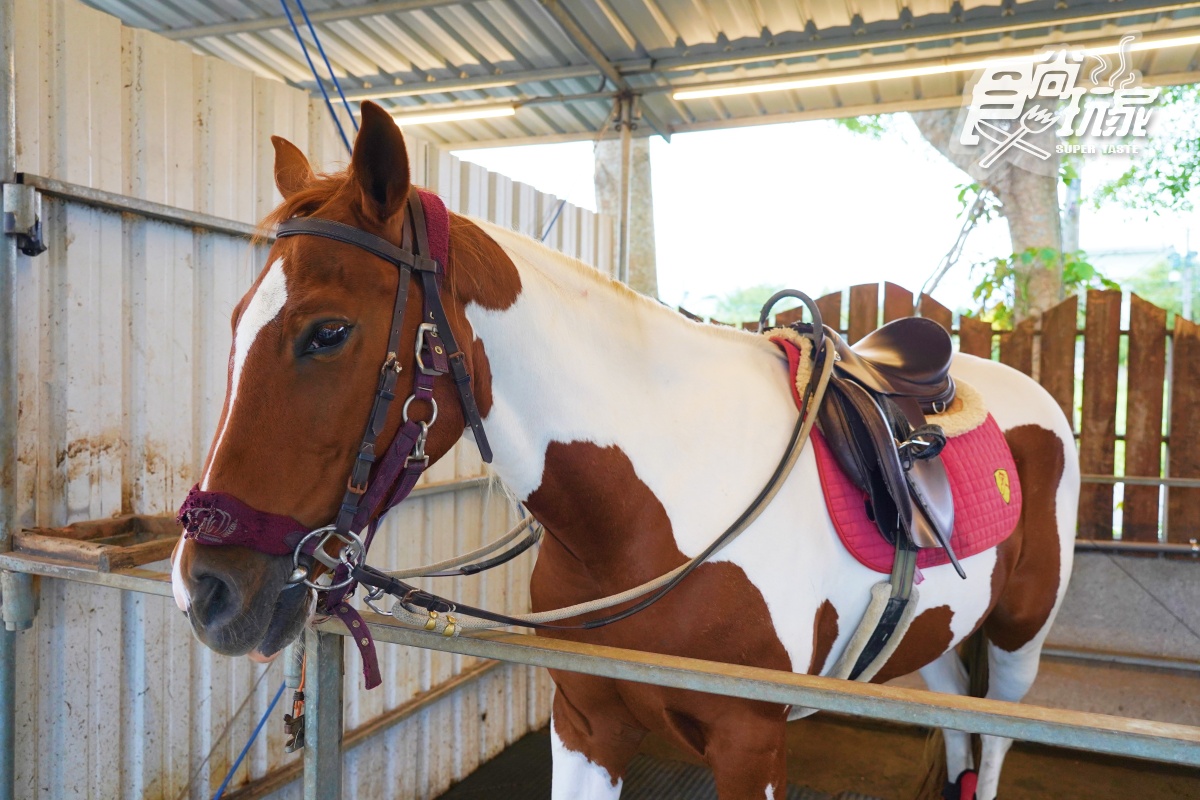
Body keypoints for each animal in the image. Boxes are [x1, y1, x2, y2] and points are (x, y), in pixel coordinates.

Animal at [169, 100, 1080, 800]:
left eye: (328, 332)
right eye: (235, 322)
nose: (202, 589)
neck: (653, 510)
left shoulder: (751, 745)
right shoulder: (585, 727)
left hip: (1019, 642)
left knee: (995, 745)